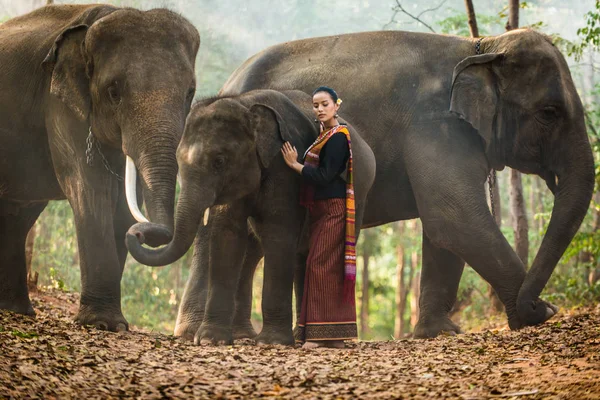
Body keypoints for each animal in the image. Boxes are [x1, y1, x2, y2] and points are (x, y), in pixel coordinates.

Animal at [0, 4, 200, 332]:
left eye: (190, 93)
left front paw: (113, 323)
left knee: (21, 213)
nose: (144, 234)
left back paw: (17, 310)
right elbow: (91, 189)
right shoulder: (60, 106)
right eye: (114, 92)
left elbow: (124, 204)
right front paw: (102, 323)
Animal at [125, 90, 376, 344]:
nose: (137, 234)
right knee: (300, 256)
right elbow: (227, 233)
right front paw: (211, 340)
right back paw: (302, 337)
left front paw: (272, 341)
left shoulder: (283, 171)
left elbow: (278, 234)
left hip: (358, 195)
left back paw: (324, 341)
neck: (245, 103)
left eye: (219, 161)